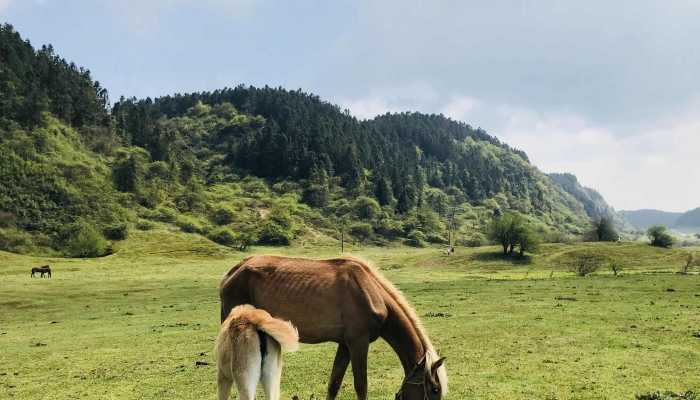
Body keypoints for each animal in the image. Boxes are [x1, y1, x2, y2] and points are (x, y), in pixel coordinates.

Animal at [219, 256, 448, 400]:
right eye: (435, 389)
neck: (370, 291)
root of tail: (235, 270)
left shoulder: (345, 345)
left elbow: (334, 384)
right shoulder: (358, 343)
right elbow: (361, 386)